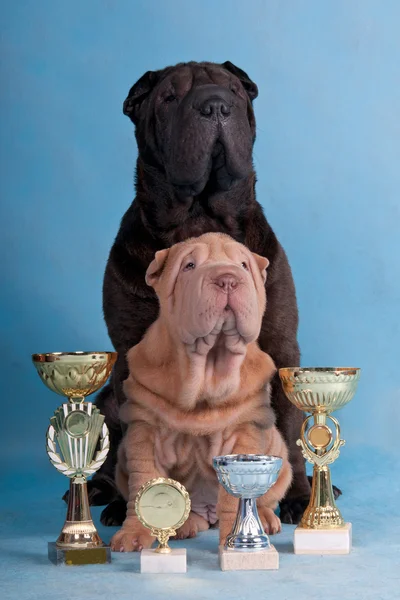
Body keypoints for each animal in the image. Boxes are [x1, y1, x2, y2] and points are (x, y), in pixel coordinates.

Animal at [111, 232, 292, 552]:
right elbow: (142, 483)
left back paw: (266, 519)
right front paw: (134, 533)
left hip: (281, 460)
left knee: (265, 499)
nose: (228, 279)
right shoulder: (144, 432)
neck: (207, 370)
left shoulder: (243, 434)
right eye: (189, 266)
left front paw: (236, 541)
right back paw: (183, 527)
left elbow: (234, 500)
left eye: (243, 265)